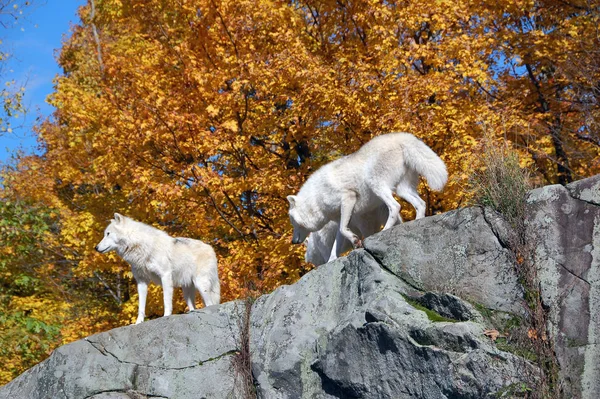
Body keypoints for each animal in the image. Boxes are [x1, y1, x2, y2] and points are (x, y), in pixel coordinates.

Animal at [288, 132, 448, 262]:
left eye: (292, 222)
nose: (293, 242)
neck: (315, 198)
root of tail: (402, 137)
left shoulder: (349, 198)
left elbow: (343, 230)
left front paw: (356, 241)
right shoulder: (341, 218)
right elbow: (336, 243)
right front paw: (332, 260)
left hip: (376, 184)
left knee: (395, 206)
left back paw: (384, 231)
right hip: (402, 189)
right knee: (420, 204)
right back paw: (416, 222)